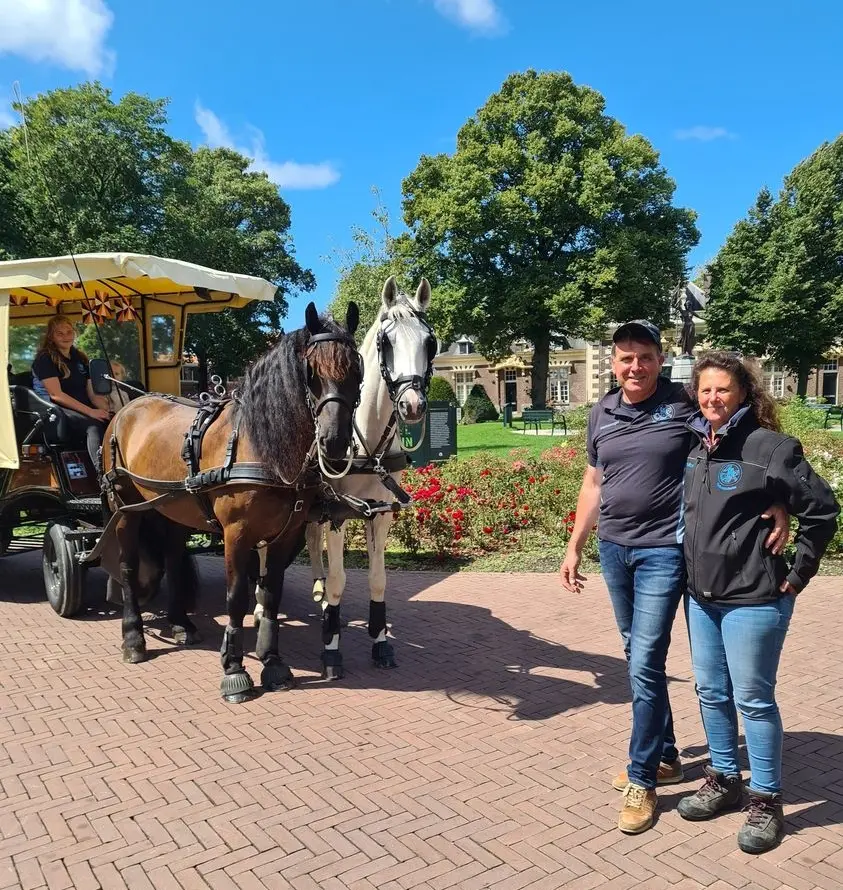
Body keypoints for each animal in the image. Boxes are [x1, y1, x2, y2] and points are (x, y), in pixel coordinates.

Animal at [100, 302, 362, 696]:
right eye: (311, 372)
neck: (262, 446)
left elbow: (270, 595)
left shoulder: (285, 535)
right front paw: (234, 668)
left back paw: (181, 624)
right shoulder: (236, 534)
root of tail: (128, 407)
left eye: (357, 369)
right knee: (129, 568)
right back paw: (133, 638)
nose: (333, 442)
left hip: (170, 507)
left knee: (173, 559)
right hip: (125, 509)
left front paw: (273, 662)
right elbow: (237, 597)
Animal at [292, 278, 436, 680]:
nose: (412, 405)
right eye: (385, 343)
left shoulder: (381, 512)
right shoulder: (337, 513)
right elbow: (340, 581)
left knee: (312, 543)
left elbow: (378, 578)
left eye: (430, 342)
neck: (366, 442)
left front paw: (380, 641)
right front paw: (331, 649)